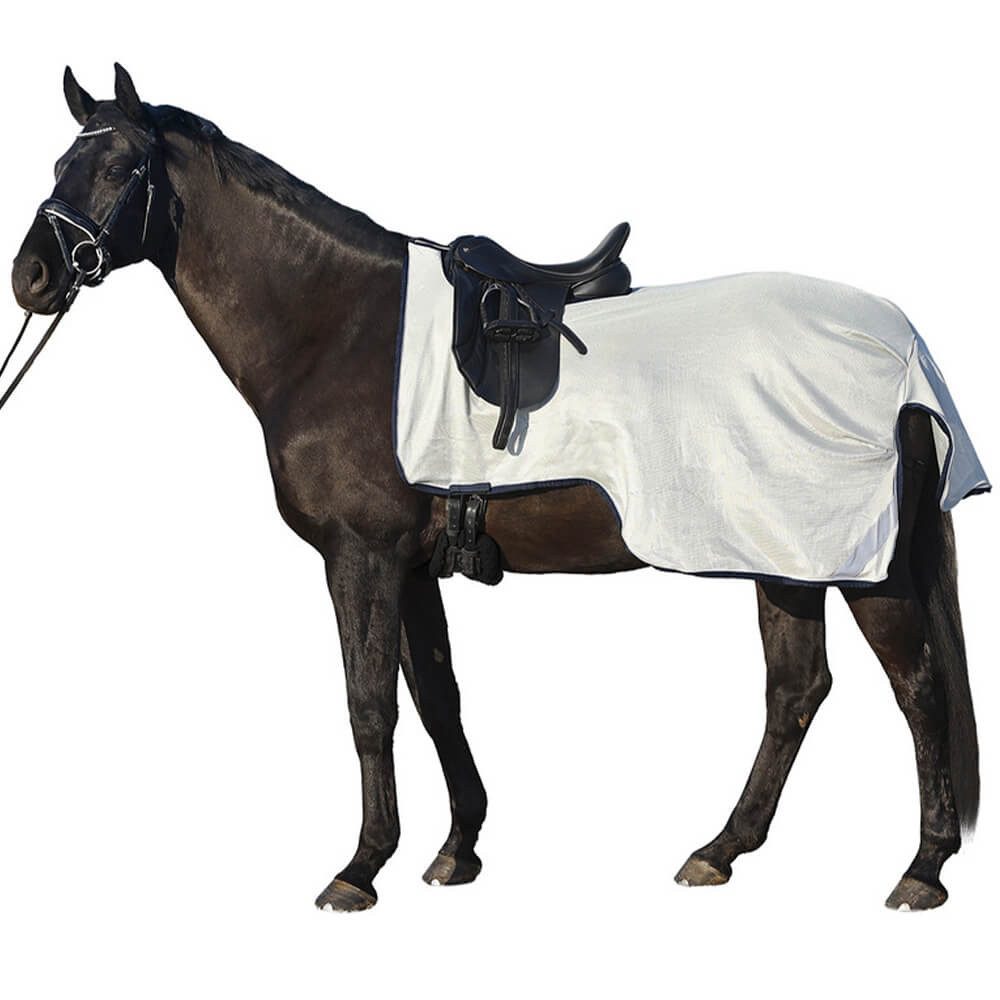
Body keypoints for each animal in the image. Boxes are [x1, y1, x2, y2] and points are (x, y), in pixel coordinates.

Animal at [9, 64, 981, 912]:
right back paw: (720, 850)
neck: (338, 331)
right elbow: (436, 696)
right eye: (60, 166)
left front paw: (360, 868)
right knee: (797, 691)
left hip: (858, 565)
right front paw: (456, 848)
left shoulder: (360, 556)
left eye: (120, 167)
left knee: (917, 685)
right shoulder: (410, 564)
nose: (33, 277)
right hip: (786, 561)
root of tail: (902, 346)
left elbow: (370, 705)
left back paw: (923, 869)